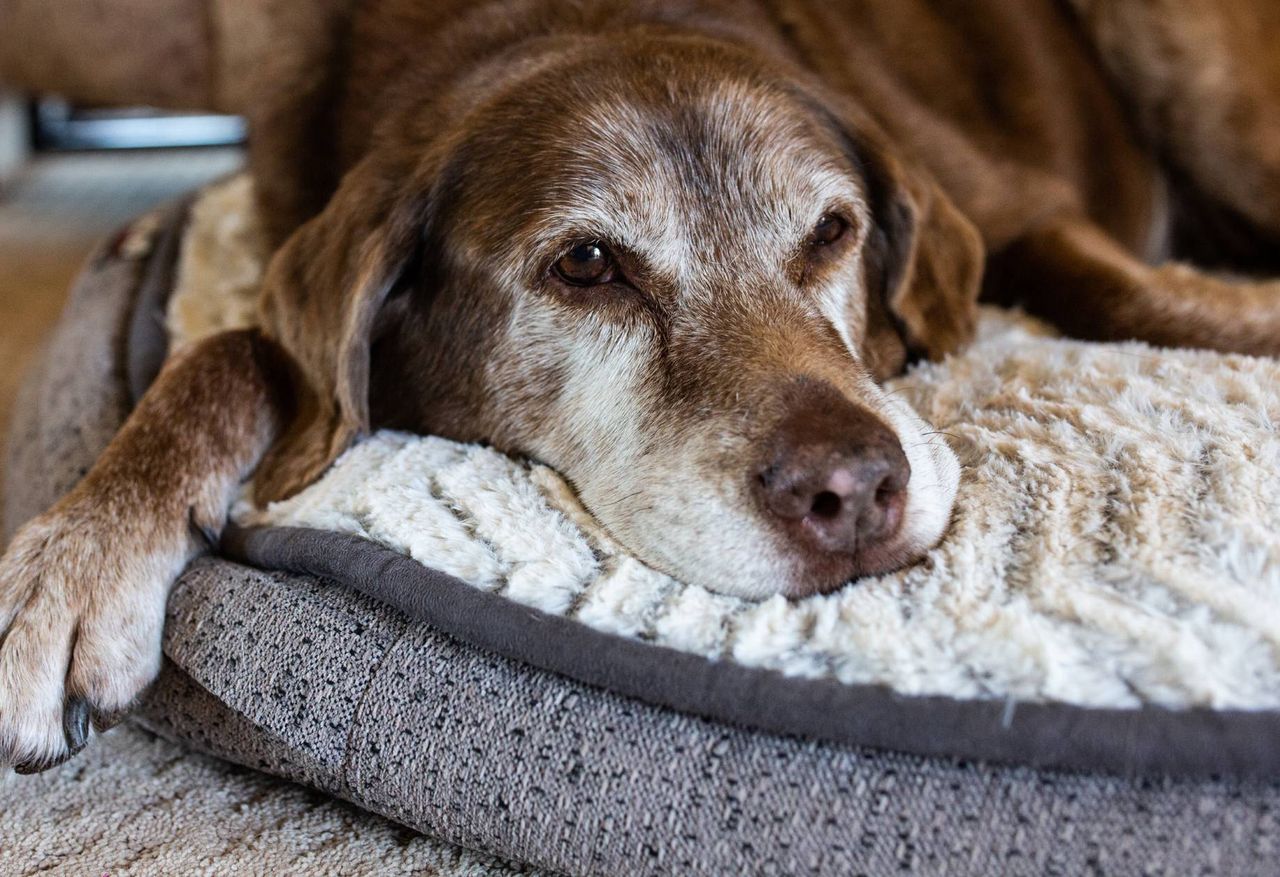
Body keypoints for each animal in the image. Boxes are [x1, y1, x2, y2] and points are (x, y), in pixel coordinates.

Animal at [2, 0, 1280, 768]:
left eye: (832, 230)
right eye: (585, 265)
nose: (853, 495)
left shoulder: (1018, 213)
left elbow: (1124, 296)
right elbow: (234, 351)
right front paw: (76, 556)